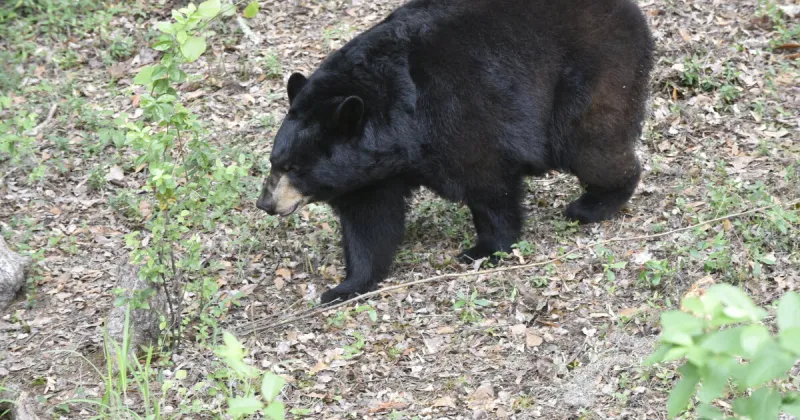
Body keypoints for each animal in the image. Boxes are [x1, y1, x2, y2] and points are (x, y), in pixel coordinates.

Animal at [256, 0, 654, 304]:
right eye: (275, 162)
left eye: (294, 167)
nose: (266, 203)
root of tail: (631, 11)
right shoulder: (371, 172)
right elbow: (369, 221)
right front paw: (344, 287)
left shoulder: (458, 113)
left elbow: (488, 184)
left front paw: (484, 250)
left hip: (594, 71)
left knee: (590, 146)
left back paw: (592, 205)